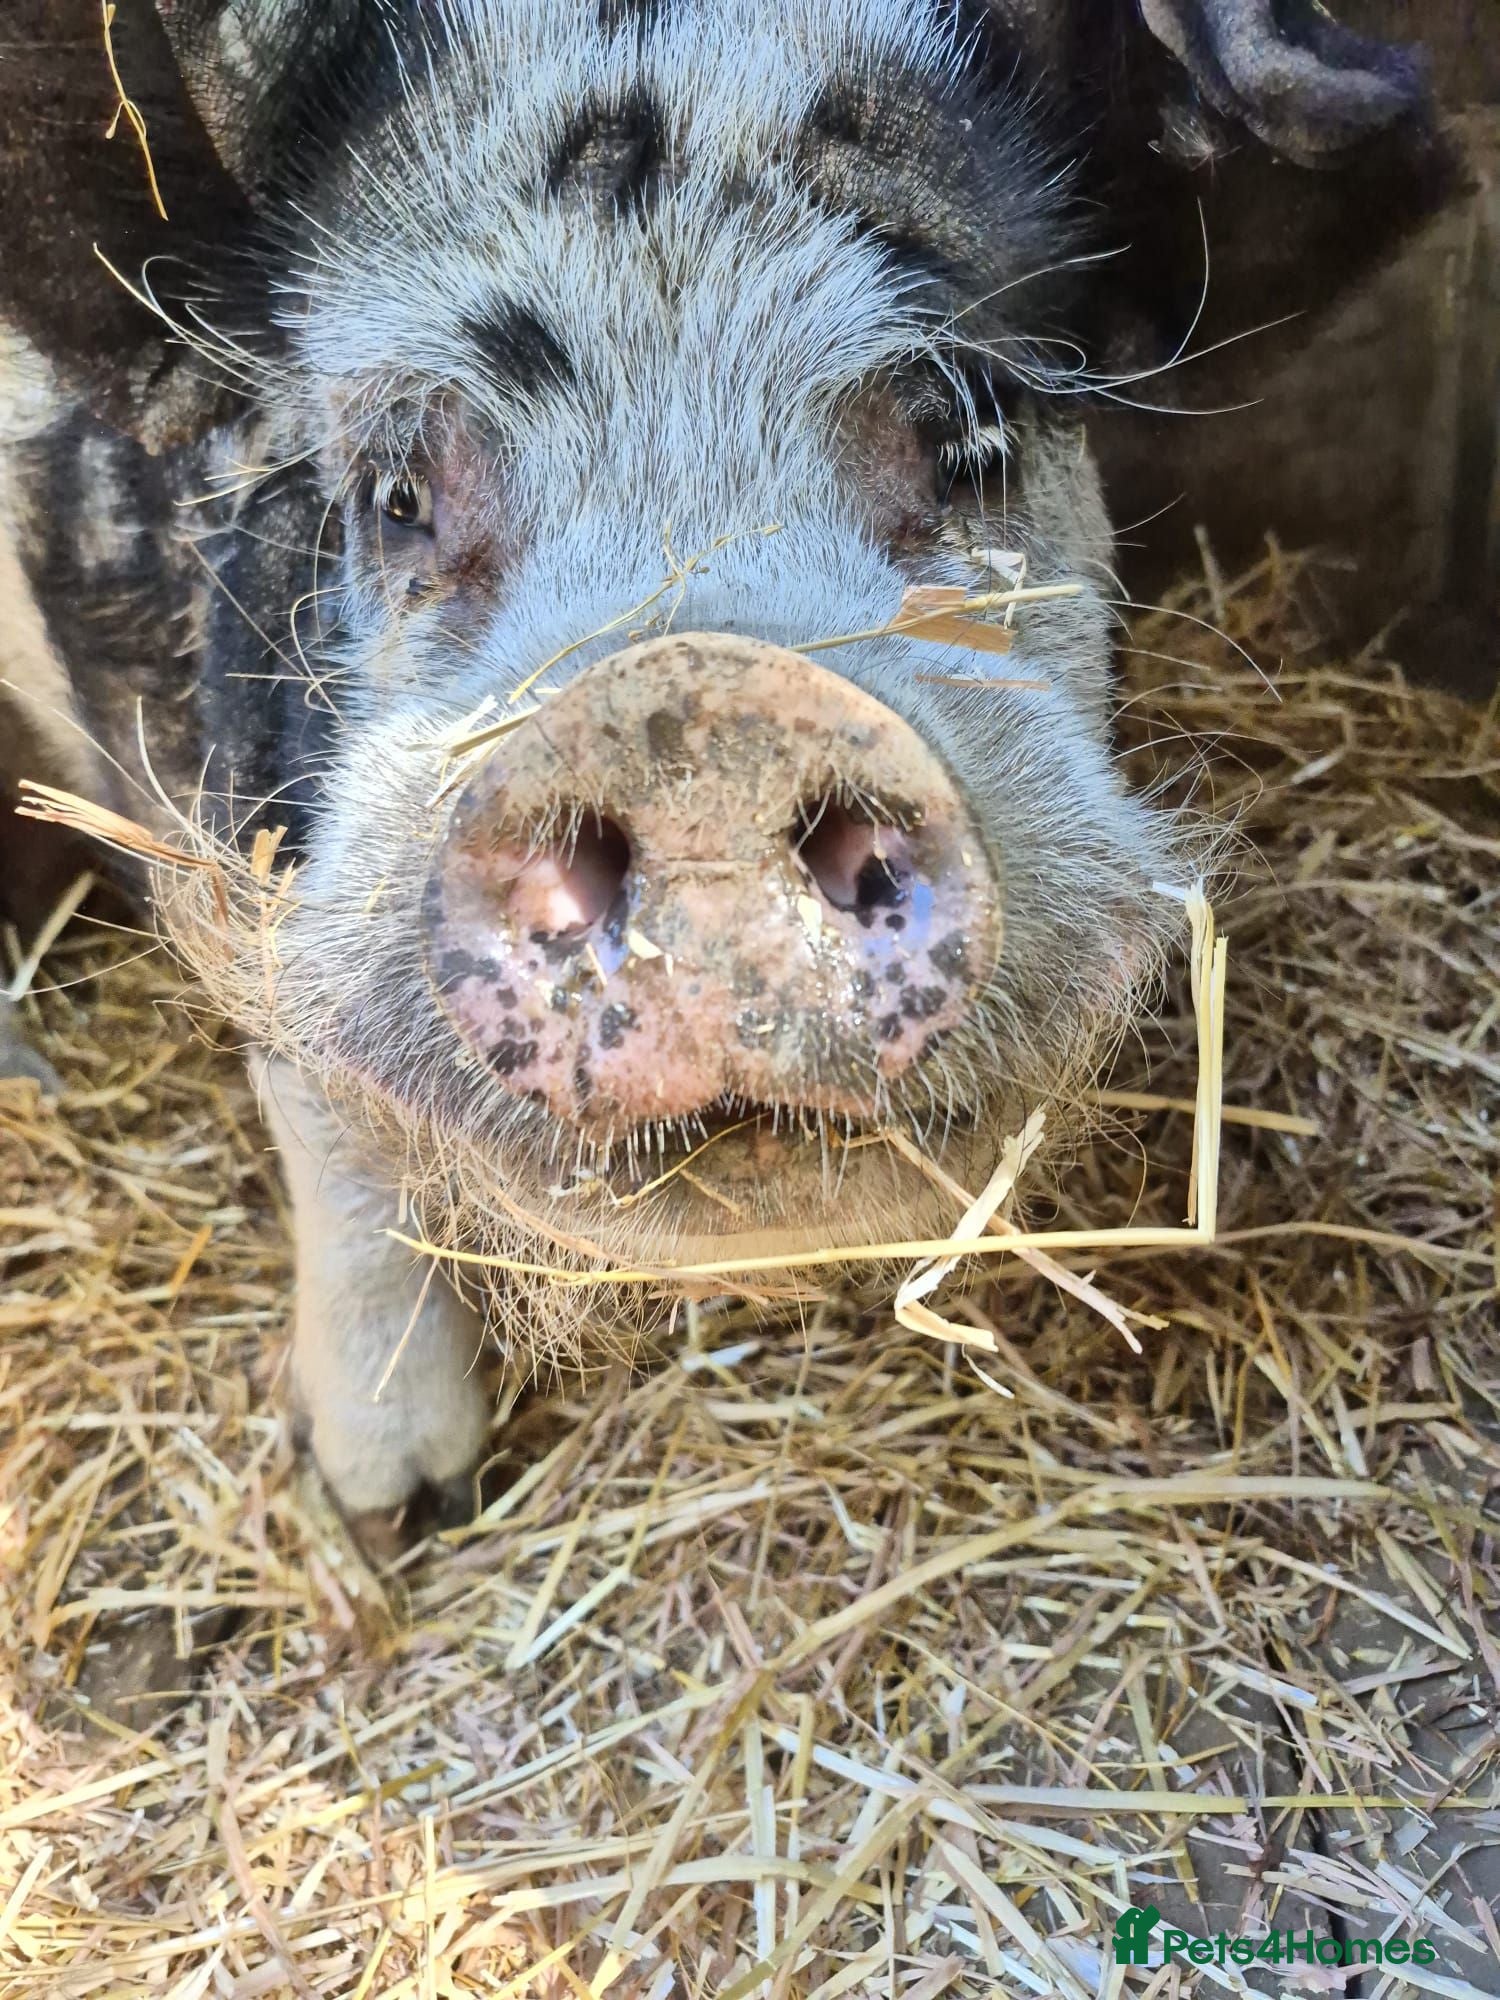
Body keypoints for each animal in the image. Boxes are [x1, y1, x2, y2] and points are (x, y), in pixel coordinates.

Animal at [0, 1, 1449, 1538]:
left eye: (970, 437)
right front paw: (400, 1506)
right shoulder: (212, 831)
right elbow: (331, 1133)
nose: (694, 712)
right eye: (398, 493)